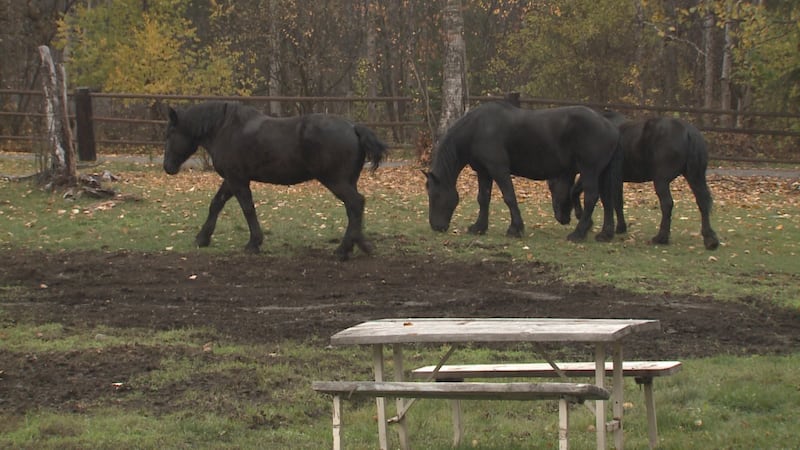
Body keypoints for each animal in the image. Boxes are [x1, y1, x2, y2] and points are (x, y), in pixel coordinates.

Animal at [162, 101, 388, 260]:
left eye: (170, 133)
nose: (167, 167)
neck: (225, 128)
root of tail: (353, 127)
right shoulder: (231, 179)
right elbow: (216, 204)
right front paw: (202, 238)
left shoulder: (237, 179)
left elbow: (247, 208)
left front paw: (254, 243)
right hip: (348, 181)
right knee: (354, 209)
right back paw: (359, 244)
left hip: (336, 181)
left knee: (356, 203)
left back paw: (343, 250)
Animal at [425, 101, 623, 243]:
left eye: (435, 196)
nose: (435, 226)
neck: (478, 128)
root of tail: (611, 127)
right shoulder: (484, 172)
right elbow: (483, 199)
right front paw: (479, 227)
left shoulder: (499, 169)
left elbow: (509, 197)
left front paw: (515, 229)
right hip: (602, 173)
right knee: (607, 199)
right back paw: (605, 235)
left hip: (589, 171)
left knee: (591, 198)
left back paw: (578, 234)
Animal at [569, 110, 720, 250]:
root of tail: (688, 131)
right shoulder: (616, 180)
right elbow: (617, 202)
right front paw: (620, 227)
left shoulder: (596, 174)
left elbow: (593, 197)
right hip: (695, 177)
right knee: (702, 202)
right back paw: (710, 240)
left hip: (661, 181)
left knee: (667, 204)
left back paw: (661, 238)